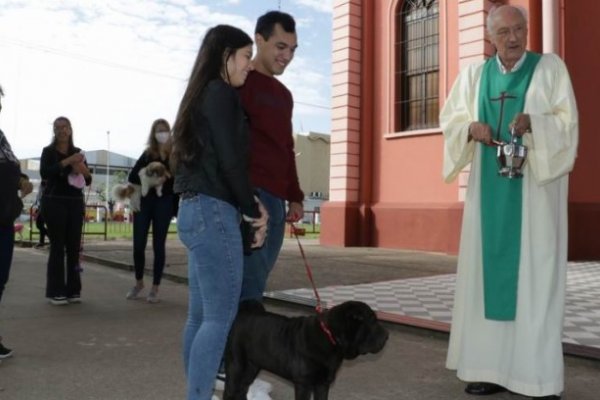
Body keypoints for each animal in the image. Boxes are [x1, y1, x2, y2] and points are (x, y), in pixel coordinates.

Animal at [224, 300, 390, 400]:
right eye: (372, 322)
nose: (387, 335)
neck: (331, 337)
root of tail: (241, 314)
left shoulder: (322, 384)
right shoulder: (304, 383)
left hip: (252, 366)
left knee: (242, 388)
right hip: (236, 365)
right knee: (231, 390)